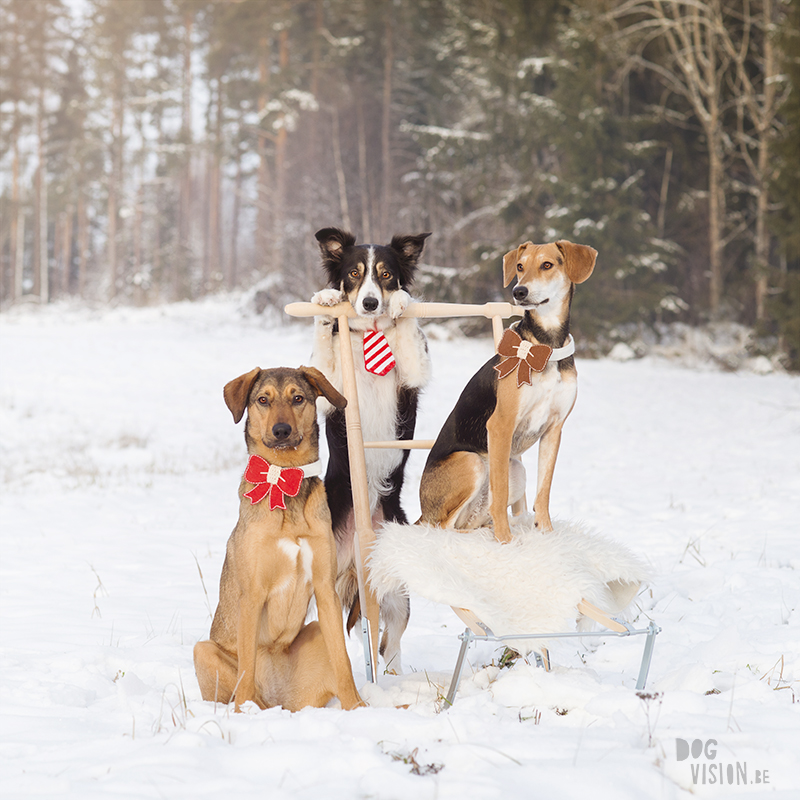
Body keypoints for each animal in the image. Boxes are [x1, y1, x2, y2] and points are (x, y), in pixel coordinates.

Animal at [195, 366, 364, 708]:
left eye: (297, 398)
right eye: (263, 400)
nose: (282, 430)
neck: (285, 477)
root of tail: (281, 701)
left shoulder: (326, 589)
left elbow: (344, 663)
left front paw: (357, 709)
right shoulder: (252, 595)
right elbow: (246, 668)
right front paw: (242, 714)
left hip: (316, 631)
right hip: (203, 650)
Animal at [422, 241, 596, 544]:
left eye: (547, 265)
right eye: (519, 266)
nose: (519, 292)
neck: (546, 348)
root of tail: (421, 511)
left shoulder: (554, 429)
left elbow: (543, 492)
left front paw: (546, 533)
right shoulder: (501, 425)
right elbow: (500, 493)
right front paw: (505, 540)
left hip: (517, 470)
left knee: (469, 520)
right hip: (471, 462)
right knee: (442, 528)